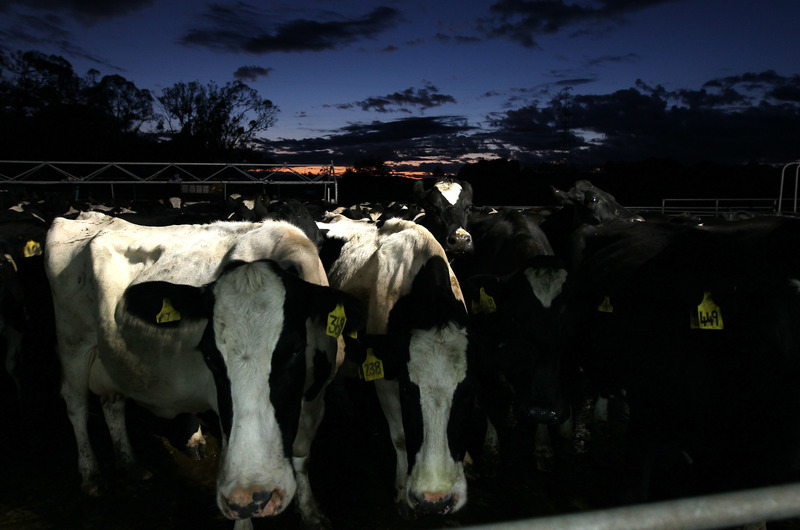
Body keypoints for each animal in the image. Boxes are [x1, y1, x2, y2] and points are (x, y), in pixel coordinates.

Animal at [45, 210, 364, 524]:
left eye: (296, 350)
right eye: (209, 357)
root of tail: (84, 217)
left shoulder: (316, 397)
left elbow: (302, 457)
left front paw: (310, 511)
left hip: (112, 357)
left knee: (113, 404)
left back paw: (130, 463)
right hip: (74, 344)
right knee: (76, 405)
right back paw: (91, 474)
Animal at [314, 214, 476, 516]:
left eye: (468, 393)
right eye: (409, 393)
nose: (437, 500)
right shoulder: (385, 375)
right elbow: (400, 435)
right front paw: (401, 493)